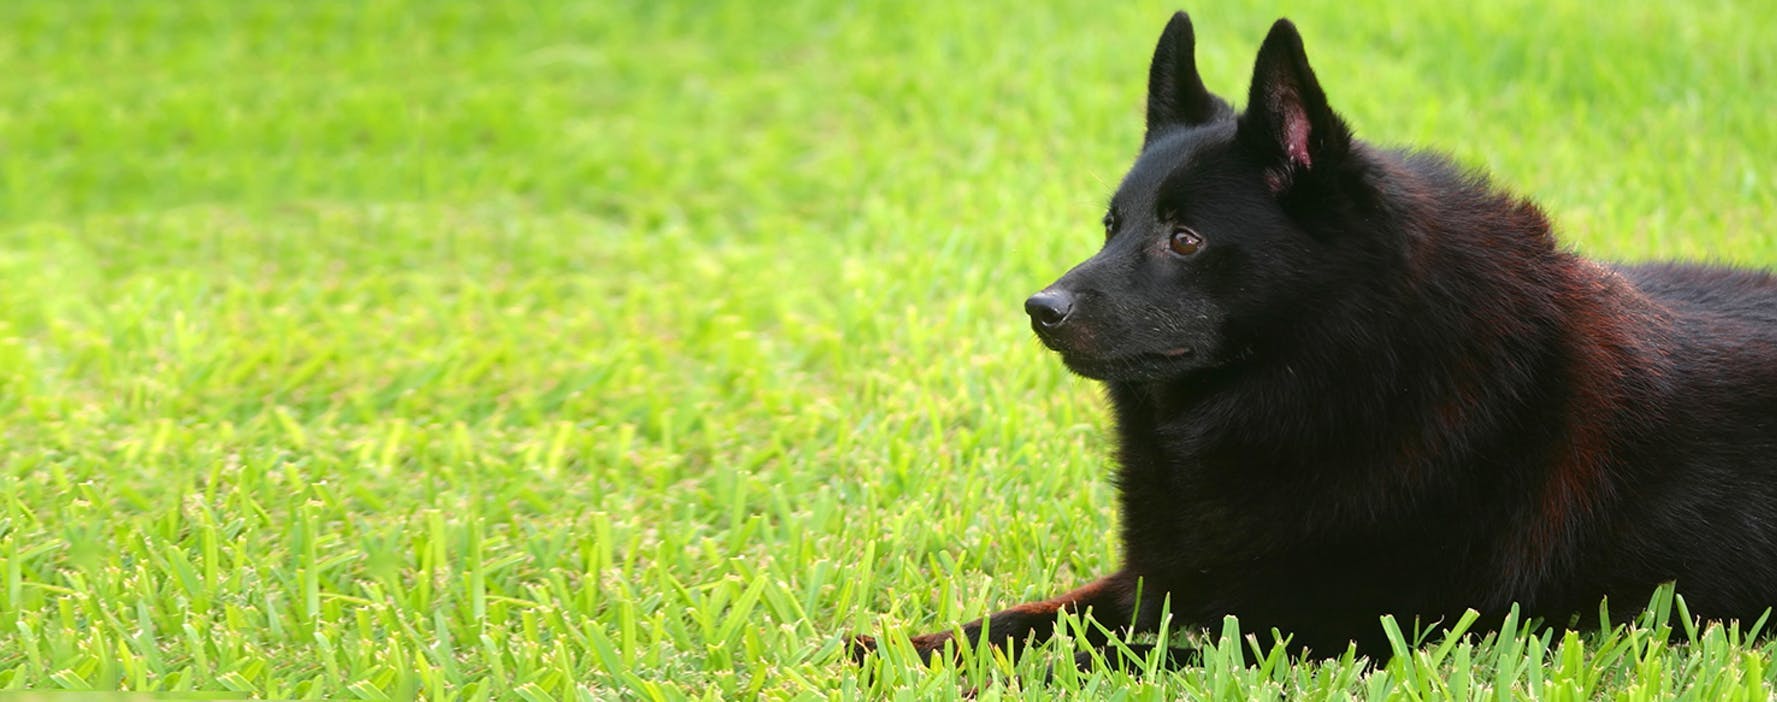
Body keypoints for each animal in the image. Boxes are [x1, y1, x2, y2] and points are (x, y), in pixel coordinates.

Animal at [852, 13, 1769, 668]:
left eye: (1184, 239)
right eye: (1112, 226)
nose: (1039, 308)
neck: (1343, 368)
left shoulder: (1310, 631)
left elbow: (1099, 658)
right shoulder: (1158, 583)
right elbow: (1027, 618)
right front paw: (903, 646)